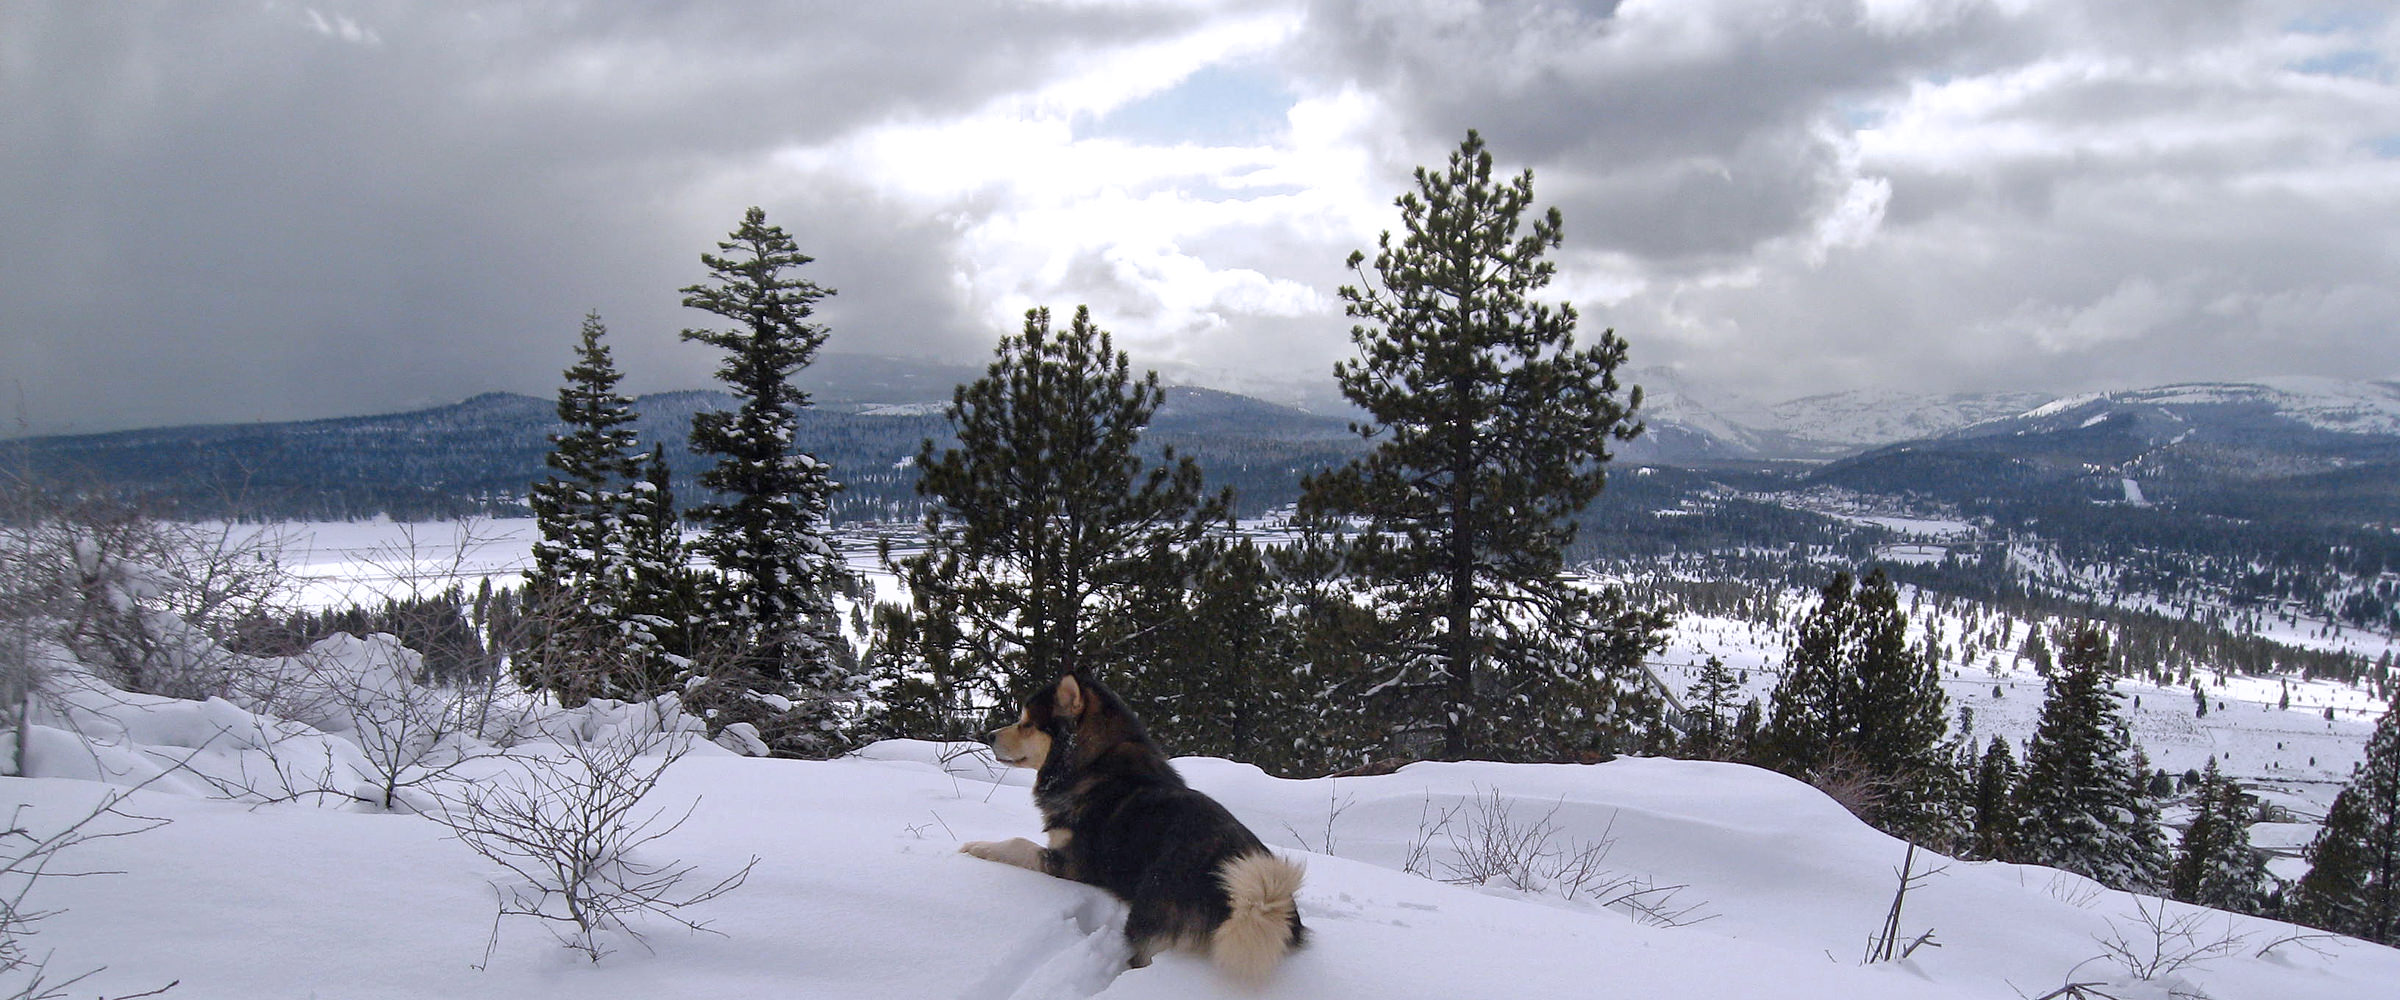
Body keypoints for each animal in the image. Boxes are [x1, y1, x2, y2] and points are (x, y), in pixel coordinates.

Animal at [955, 666, 1305, 978]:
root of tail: (1251, 903)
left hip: (1148, 918)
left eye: (1027, 723)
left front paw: (977, 846)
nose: (987, 736)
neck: (1093, 763)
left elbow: (1018, 844)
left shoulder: (1071, 863)